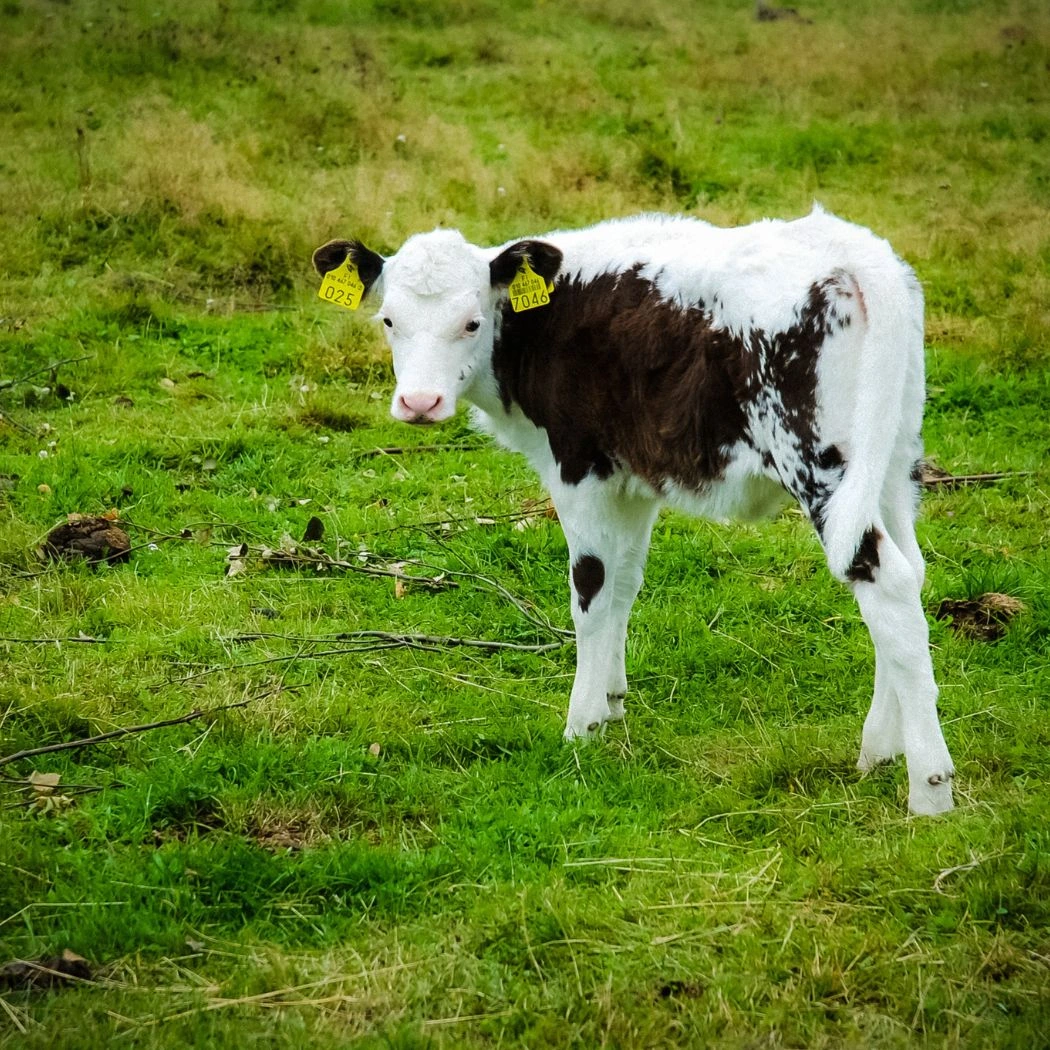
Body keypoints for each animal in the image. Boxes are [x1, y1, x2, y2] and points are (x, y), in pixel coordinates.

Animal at [312, 208, 956, 815]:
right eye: (388, 320)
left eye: (471, 322)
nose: (419, 402)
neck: (542, 321)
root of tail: (857, 256)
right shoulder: (634, 477)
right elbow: (625, 584)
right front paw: (612, 701)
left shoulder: (578, 467)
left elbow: (591, 593)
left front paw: (581, 726)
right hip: (891, 458)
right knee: (908, 575)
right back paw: (880, 748)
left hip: (819, 464)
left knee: (881, 580)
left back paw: (930, 788)